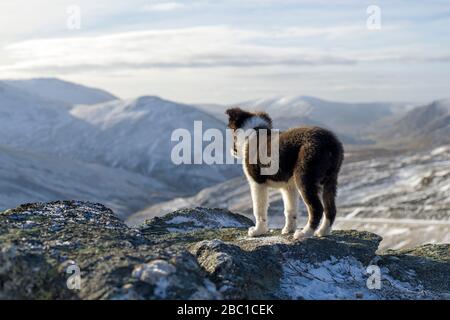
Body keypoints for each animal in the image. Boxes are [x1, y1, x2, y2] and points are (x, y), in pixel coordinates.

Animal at [225, 108, 344, 240]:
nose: (232, 150)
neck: (252, 132)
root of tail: (331, 144)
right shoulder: (288, 187)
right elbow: (290, 209)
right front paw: (288, 229)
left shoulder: (257, 183)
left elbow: (259, 209)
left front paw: (257, 231)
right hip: (330, 180)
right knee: (331, 208)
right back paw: (323, 231)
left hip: (304, 177)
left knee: (317, 208)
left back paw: (304, 233)